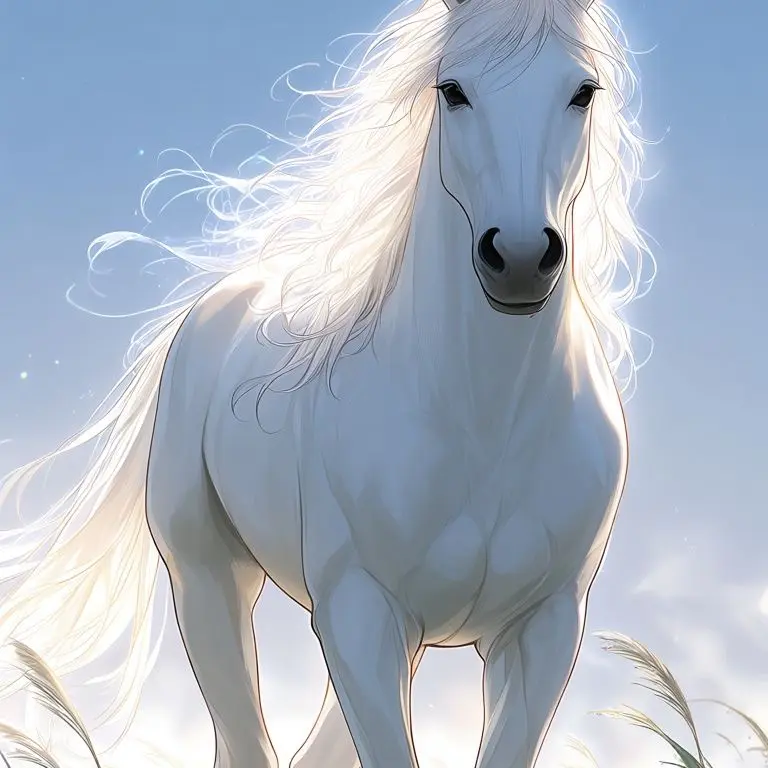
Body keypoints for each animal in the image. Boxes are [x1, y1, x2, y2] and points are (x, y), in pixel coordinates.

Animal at [0, 0, 652, 766]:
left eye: (583, 92)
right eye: (452, 90)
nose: (519, 258)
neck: (485, 421)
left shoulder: (541, 631)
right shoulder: (359, 614)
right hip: (208, 577)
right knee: (242, 729)